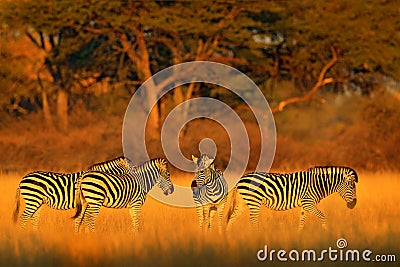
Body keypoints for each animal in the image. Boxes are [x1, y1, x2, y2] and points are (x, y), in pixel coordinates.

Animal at [227, 166, 358, 231]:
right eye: (351, 187)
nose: (354, 205)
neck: (318, 184)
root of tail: (241, 179)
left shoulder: (305, 205)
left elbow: (302, 221)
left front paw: (299, 236)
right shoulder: (308, 203)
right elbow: (323, 216)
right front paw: (326, 233)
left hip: (244, 202)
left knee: (232, 217)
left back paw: (227, 236)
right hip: (254, 201)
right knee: (253, 220)